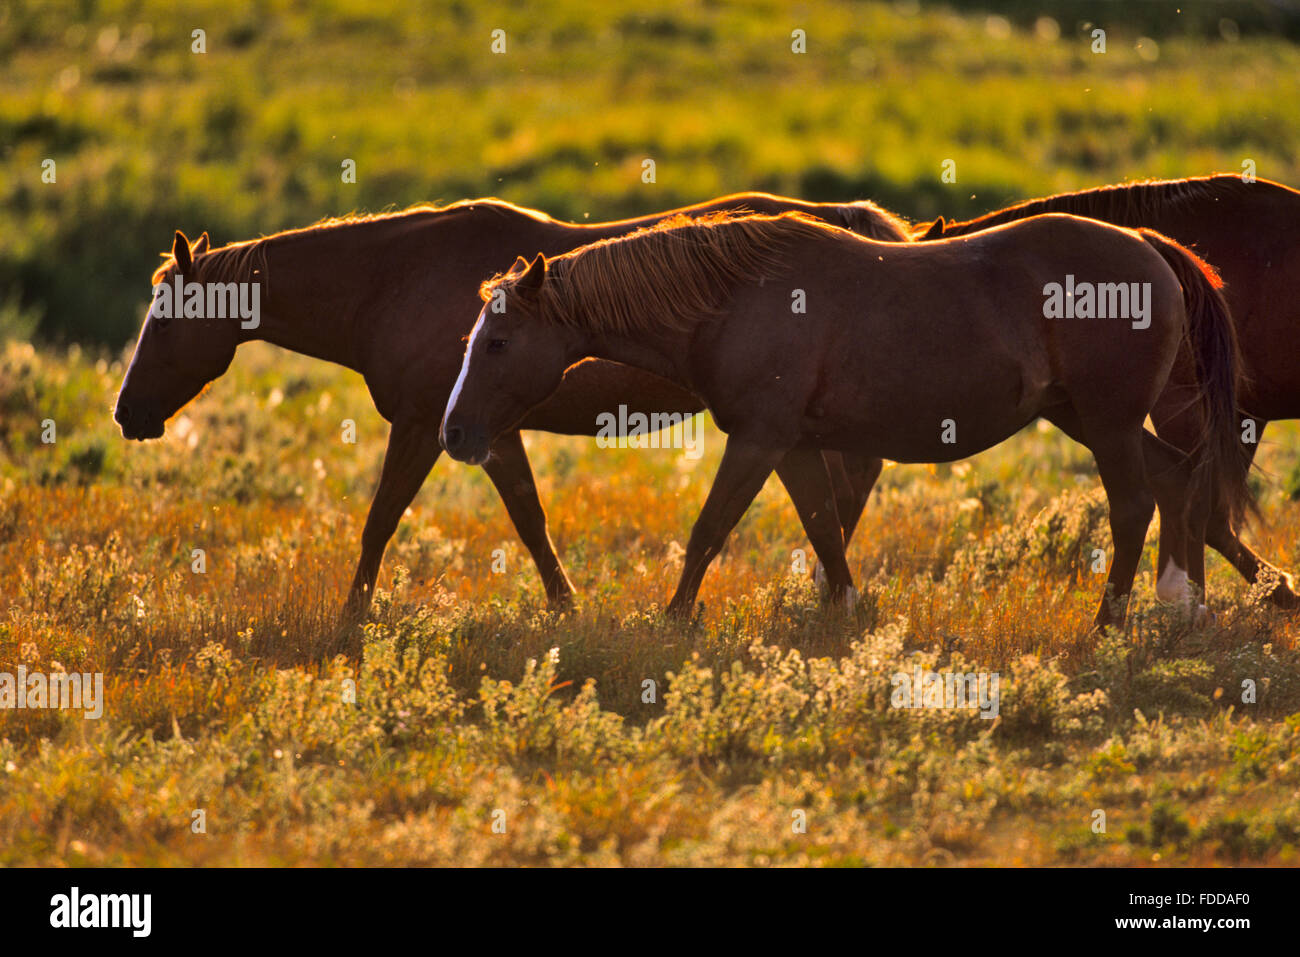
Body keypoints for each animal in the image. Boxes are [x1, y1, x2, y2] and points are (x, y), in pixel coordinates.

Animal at [113, 194, 908, 619]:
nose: (127, 413)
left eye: (165, 321)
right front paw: (566, 607)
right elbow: (529, 520)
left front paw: (352, 615)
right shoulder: (484, 430)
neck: (390, 280)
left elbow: (382, 521)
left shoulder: (431, 426)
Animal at [440, 211, 1252, 628]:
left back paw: (1109, 620)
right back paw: (1184, 603)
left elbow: (709, 530)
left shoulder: (758, 439)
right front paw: (844, 611)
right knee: (1175, 483)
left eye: (499, 341)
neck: (731, 299)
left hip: (1106, 424)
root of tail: (1148, 248)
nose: (454, 433)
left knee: (1134, 504)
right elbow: (823, 527)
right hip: (1086, 418)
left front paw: (672, 620)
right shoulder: (794, 444)